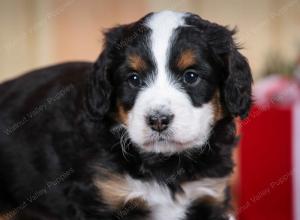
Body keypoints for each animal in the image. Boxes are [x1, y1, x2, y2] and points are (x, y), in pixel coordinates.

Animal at [0, 10, 252, 220]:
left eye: (191, 76)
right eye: (134, 79)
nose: (158, 120)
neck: (164, 165)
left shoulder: (209, 194)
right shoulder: (103, 198)